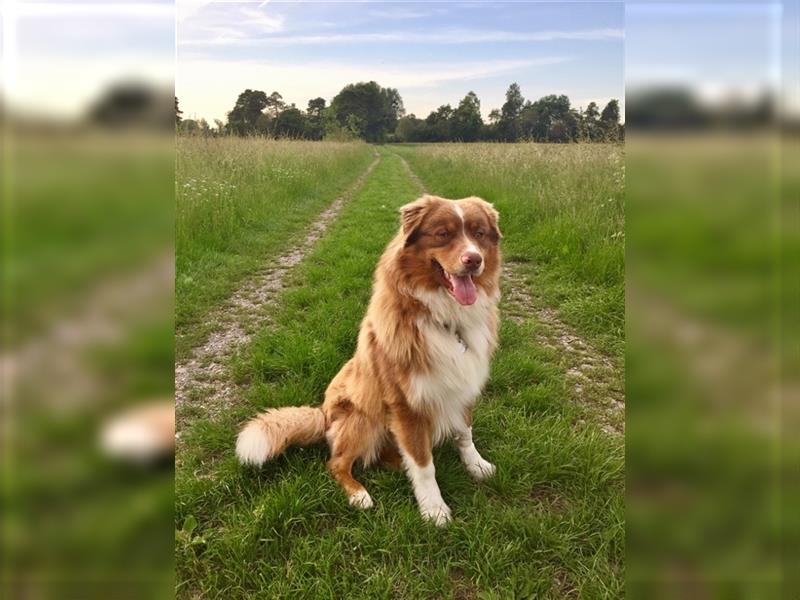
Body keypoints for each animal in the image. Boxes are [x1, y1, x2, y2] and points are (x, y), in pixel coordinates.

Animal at [234, 196, 504, 524]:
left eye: (479, 234)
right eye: (443, 234)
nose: (474, 260)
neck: (446, 318)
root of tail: (322, 414)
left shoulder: (463, 386)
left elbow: (465, 433)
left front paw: (477, 466)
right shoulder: (406, 404)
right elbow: (424, 466)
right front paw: (434, 510)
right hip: (362, 416)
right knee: (336, 463)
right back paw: (358, 494)